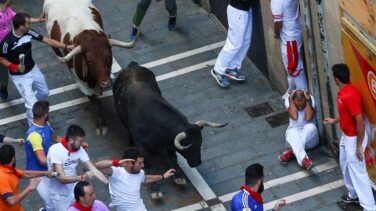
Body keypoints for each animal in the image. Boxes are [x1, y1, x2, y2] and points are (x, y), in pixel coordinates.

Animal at [43, 0, 134, 135]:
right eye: (88, 61)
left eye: (108, 56)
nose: (105, 81)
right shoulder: (82, 84)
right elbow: (96, 103)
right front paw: (101, 125)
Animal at [112, 61, 226, 199]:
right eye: (189, 146)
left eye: (200, 143)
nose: (197, 163)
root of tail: (132, 65)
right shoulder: (143, 147)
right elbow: (149, 166)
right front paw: (155, 189)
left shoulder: (170, 143)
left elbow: (173, 159)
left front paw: (178, 177)